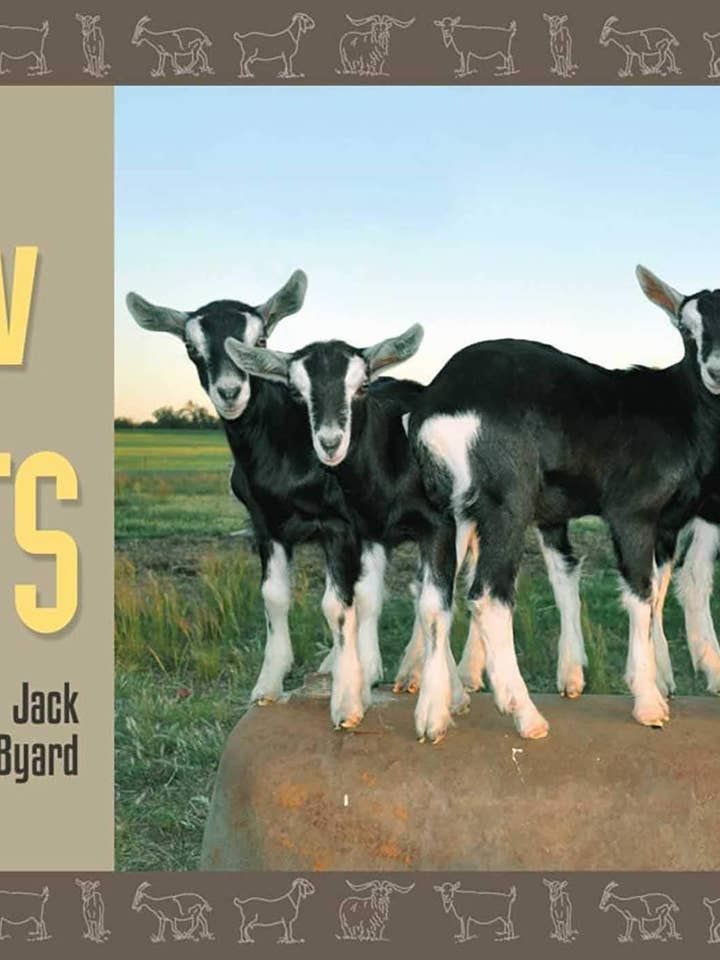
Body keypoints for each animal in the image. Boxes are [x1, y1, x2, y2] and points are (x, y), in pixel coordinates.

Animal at [404, 266, 720, 743]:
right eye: (686, 329)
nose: (716, 370)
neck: (680, 410)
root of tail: (436, 403)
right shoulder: (634, 511)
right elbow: (641, 593)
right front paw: (648, 701)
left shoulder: (667, 521)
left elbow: (656, 591)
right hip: (506, 499)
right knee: (488, 596)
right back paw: (524, 714)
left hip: (447, 508)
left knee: (434, 596)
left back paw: (436, 713)